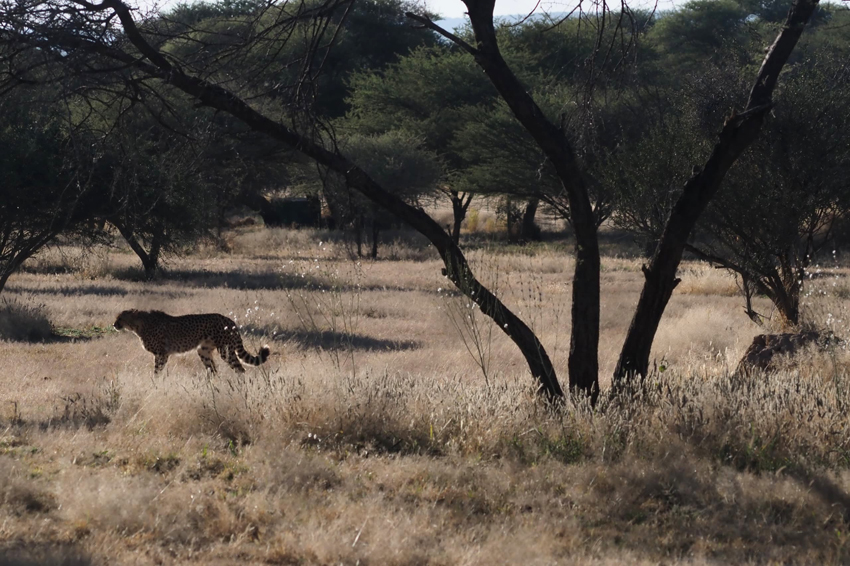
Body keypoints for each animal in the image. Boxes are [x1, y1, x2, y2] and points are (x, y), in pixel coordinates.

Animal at [113, 309, 270, 374]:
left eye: (120, 318)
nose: (114, 325)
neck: (138, 324)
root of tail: (229, 320)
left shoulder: (162, 354)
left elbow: (157, 371)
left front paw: (155, 383)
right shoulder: (162, 354)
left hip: (226, 351)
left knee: (240, 369)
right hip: (203, 350)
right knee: (213, 371)